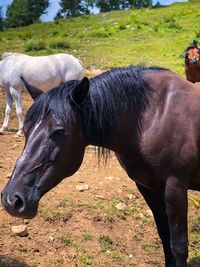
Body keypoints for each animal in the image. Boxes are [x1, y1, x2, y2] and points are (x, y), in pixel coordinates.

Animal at [1, 65, 200, 267]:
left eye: (58, 131)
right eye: (25, 129)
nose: (12, 199)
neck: (153, 116)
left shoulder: (175, 187)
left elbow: (179, 246)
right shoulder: (147, 187)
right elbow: (165, 237)